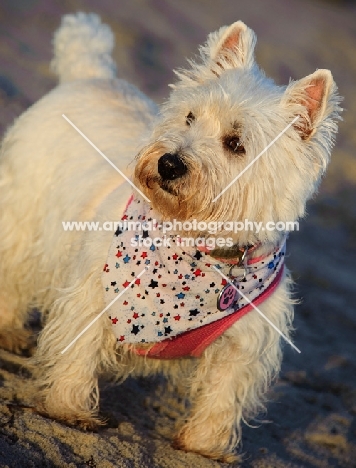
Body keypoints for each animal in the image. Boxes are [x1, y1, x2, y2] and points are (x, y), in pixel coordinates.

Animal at [0, 12, 342, 462]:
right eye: (190, 117)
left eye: (236, 143)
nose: (168, 163)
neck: (195, 242)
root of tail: (89, 75)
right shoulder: (93, 291)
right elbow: (78, 351)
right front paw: (68, 409)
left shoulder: (244, 342)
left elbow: (222, 395)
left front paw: (204, 447)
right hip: (24, 212)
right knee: (12, 270)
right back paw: (9, 330)